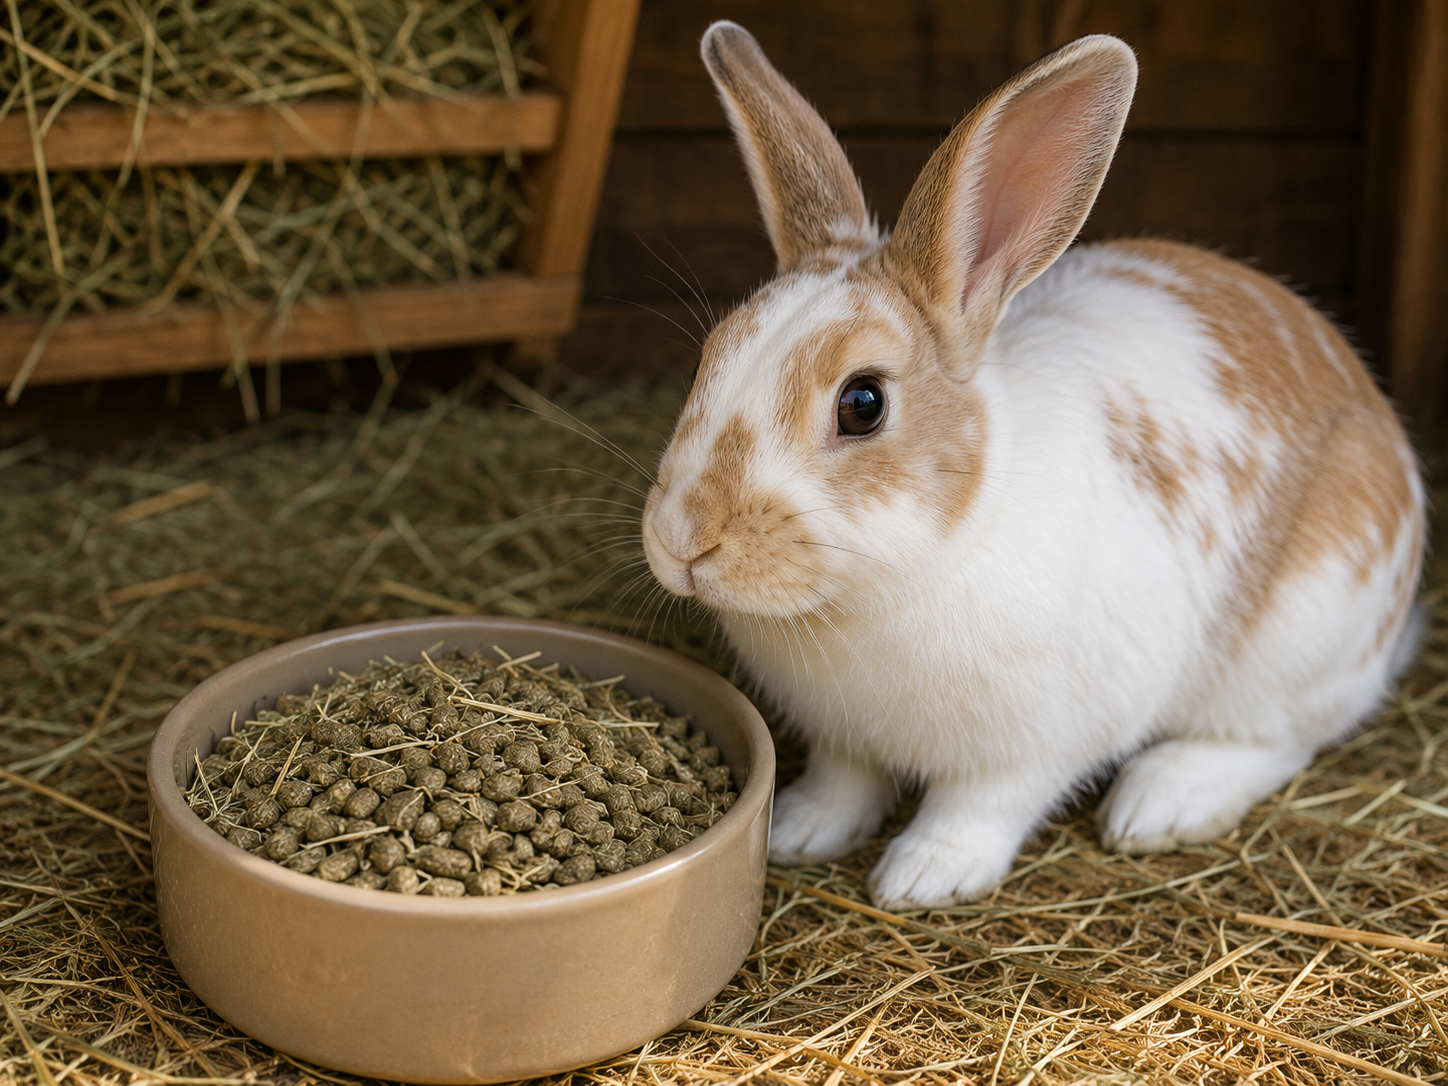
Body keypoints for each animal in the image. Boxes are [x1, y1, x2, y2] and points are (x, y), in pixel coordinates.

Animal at [640, 22, 1425, 910]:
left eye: (862, 403)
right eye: (710, 355)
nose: (682, 540)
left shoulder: (1033, 747)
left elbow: (980, 806)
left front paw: (923, 876)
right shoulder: (845, 740)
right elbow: (845, 784)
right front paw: (798, 833)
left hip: (1298, 638)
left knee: (1284, 736)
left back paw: (1161, 800)